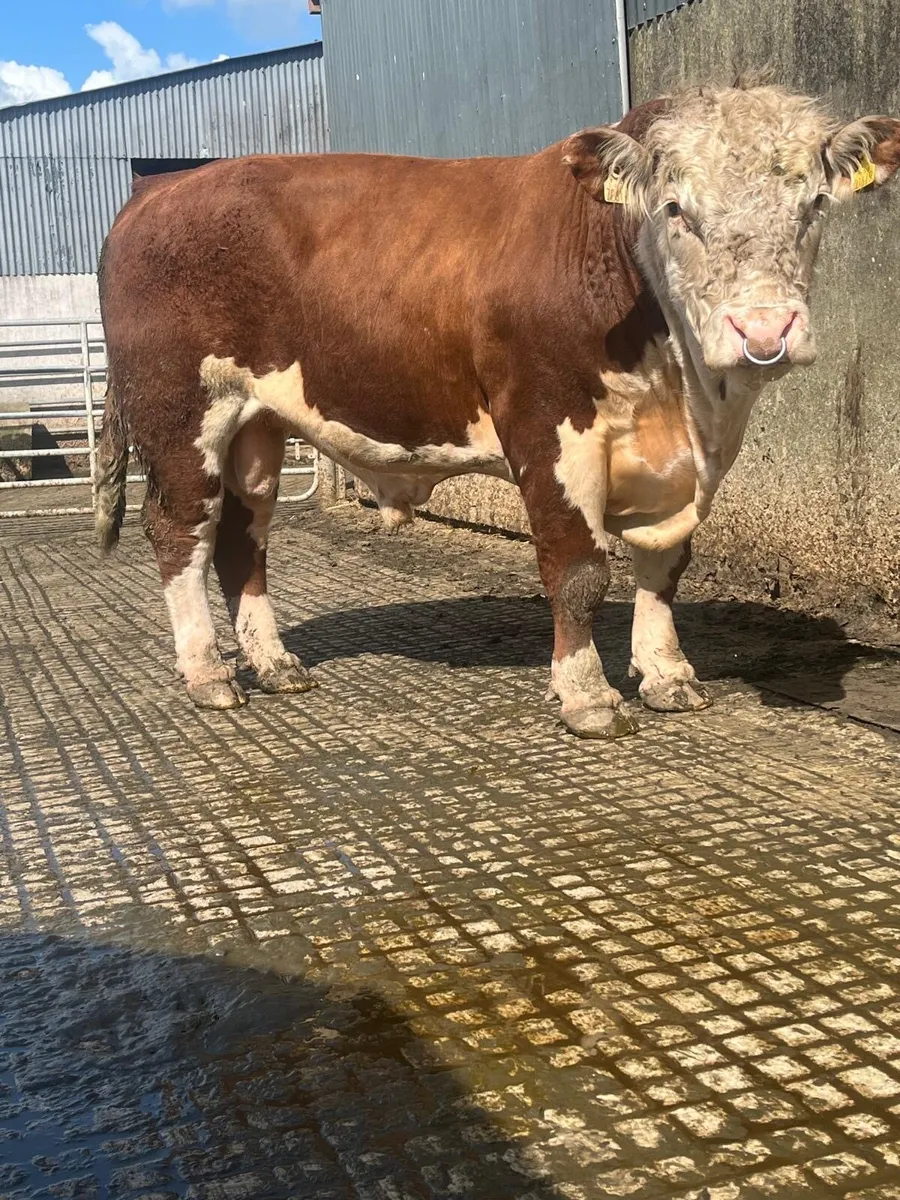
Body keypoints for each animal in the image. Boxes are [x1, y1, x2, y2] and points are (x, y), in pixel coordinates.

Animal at [94, 79, 900, 739]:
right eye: (676, 209)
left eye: (814, 205)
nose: (764, 331)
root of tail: (157, 191)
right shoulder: (549, 428)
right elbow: (579, 571)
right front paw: (588, 697)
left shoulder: (683, 464)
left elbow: (665, 566)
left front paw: (668, 676)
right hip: (180, 414)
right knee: (180, 531)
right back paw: (208, 674)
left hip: (256, 428)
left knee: (241, 537)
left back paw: (274, 664)